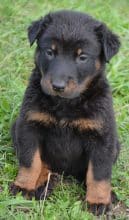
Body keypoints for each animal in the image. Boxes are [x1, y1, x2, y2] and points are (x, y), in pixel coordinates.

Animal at [10, 10, 120, 215]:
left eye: (82, 57)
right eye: (50, 52)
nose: (58, 86)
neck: (65, 104)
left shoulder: (102, 137)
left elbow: (99, 173)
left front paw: (98, 201)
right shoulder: (29, 126)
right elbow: (30, 161)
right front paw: (24, 186)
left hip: (115, 145)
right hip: (16, 129)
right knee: (44, 163)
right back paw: (41, 183)